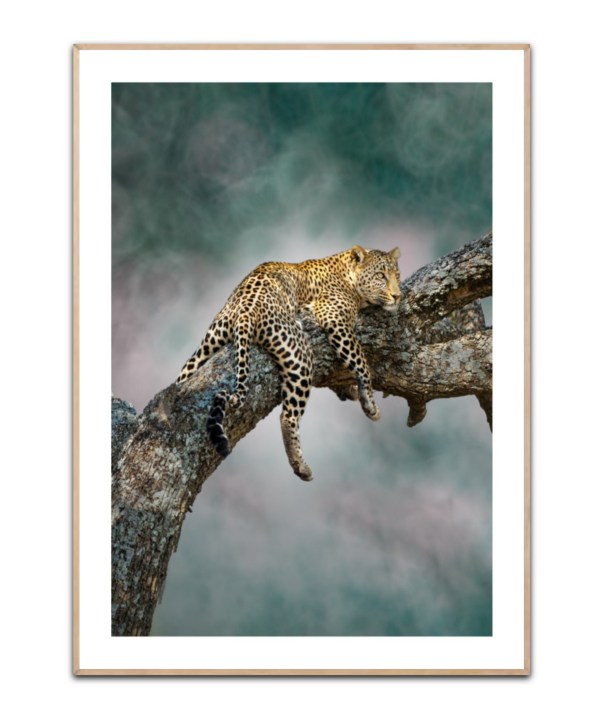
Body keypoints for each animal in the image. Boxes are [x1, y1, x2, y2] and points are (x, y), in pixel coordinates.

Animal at [176, 245, 401, 481]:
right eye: (381, 276)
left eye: (397, 275)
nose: (398, 296)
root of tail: (246, 308)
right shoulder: (334, 318)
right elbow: (361, 361)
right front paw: (370, 404)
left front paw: (350, 390)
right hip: (300, 353)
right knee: (287, 415)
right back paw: (300, 465)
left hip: (206, 347)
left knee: (181, 379)